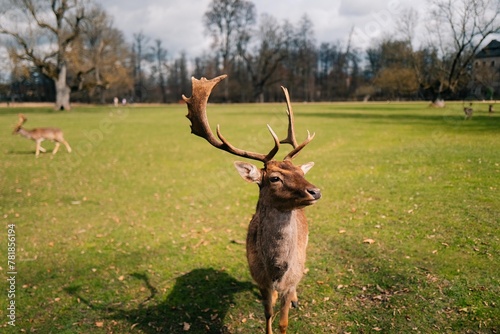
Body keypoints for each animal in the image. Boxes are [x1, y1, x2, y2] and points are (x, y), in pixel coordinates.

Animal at [183, 75, 320, 334]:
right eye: (274, 178)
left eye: (300, 172)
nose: (315, 191)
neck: (275, 272)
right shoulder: (259, 279)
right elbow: (267, 315)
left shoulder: (291, 278)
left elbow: (284, 322)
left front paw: (288, 310)